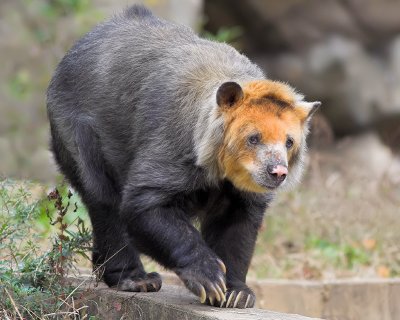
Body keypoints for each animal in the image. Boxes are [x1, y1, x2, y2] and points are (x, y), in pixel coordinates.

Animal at [47, 5, 320, 308]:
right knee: (103, 198)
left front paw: (236, 294)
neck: (220, 169)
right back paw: (136, 279)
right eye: (253, 138)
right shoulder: (174, 146)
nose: (277, 172)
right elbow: (145, 203)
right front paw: (209, 279)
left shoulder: (243, 192)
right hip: (78, 131)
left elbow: (237, 228)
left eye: (289, 142)